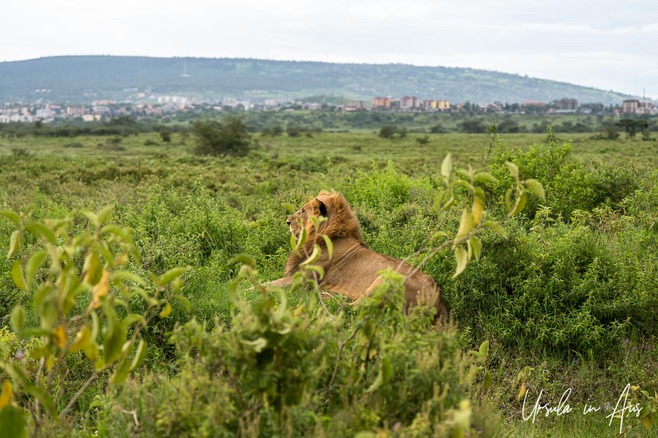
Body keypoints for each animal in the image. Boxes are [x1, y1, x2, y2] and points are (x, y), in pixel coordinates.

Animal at [269, 190, 448, 321]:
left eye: (302, 211)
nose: (287, 221)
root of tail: (440, 304)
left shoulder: (301, 280)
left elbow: (269, 284)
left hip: (385, 279)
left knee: (351, 308)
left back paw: (325, 296)